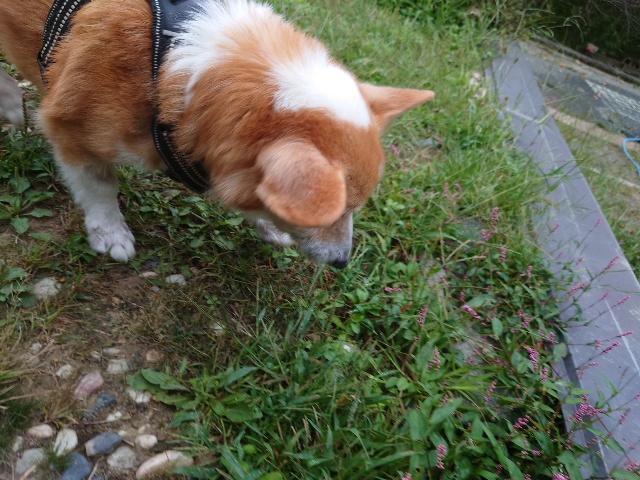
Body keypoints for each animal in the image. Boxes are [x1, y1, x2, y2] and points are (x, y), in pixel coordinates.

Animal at [0, 0, 434, 268]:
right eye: (339, 211)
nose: (342, 263)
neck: (165, 63)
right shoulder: (69, 131)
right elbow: (100, 189)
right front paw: (111, 235)